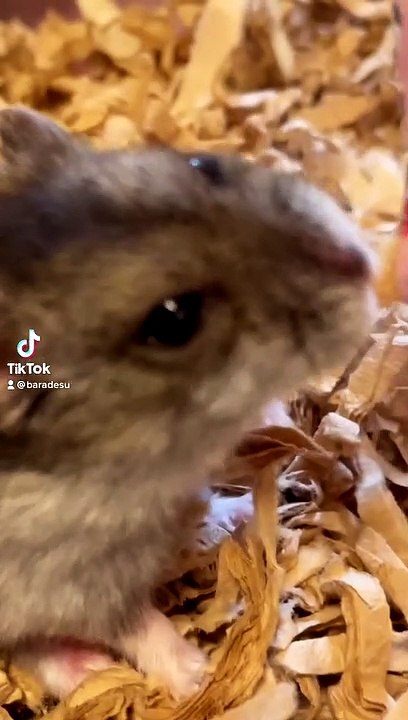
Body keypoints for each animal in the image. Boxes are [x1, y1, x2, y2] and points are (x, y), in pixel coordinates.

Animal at [0, 107, 376, 699]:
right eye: (174, 319)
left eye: (204, 165)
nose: (362, 264)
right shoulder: (73, 583)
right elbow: (136, 624)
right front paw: (199, 676)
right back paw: (91, 671)